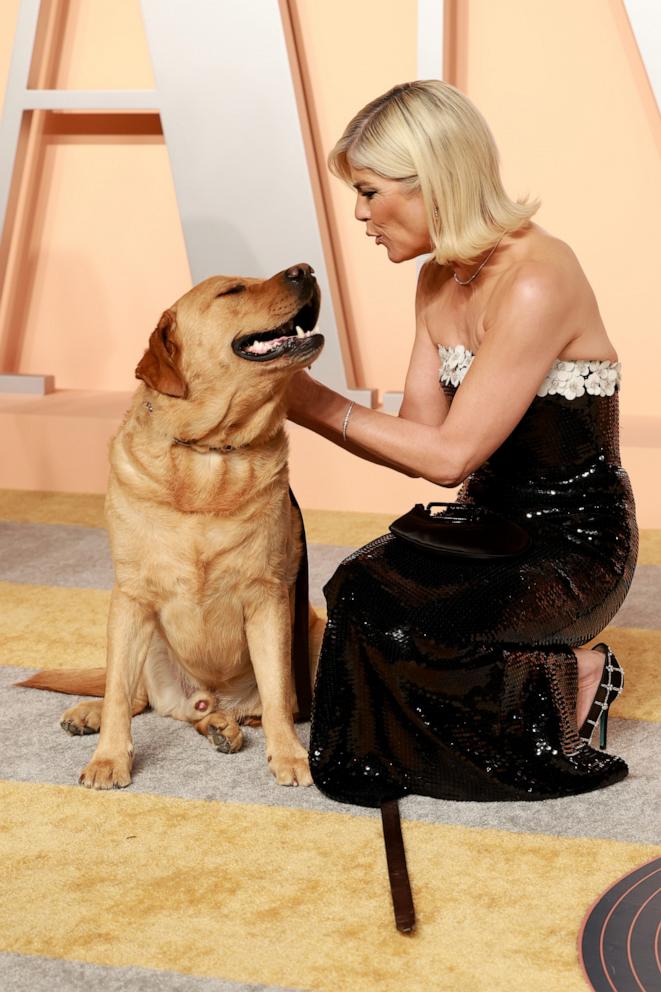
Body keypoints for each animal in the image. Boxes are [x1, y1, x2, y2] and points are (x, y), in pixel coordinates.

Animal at [20, 264, 328, 792]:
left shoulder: (268, 597)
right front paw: (109, 760)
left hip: (313, 630)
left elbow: (276, 697)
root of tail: (207, 696)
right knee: (136, 695)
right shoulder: (131, 597)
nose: (305, 269)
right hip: (144, 637)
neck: (210, 451)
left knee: (244, 710)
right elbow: (118, 693)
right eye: (233, 290)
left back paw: (225, 727)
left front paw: (290, 755)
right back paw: (91, 713)